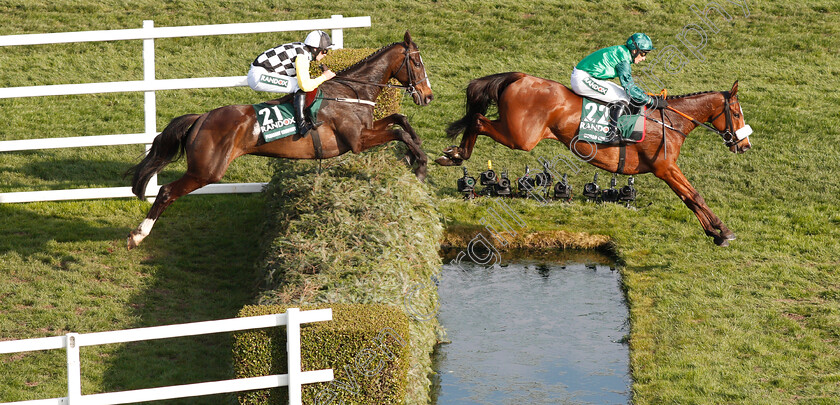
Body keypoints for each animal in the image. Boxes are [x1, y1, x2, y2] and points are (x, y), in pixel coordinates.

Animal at [124, 30, 434, 249]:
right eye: (417, 62)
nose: (428, 96)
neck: (352, 91)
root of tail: (201, 118)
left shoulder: (366, 131)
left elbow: (400, 120)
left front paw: (416, 153)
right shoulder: (357, 141)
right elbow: (398, 131)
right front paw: (419, 165)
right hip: (206, 171)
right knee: (166, 192)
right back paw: (138, 235)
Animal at [440, 72, 756, 246]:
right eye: (736, 113)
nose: (745, 145)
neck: (670, 121)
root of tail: (520, 77)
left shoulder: (665, 169)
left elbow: (689, 198)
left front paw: (714, 232)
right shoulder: (665, 168)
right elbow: (694, 196)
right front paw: (723, 231)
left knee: (479, 119)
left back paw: (454, 154)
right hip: (521, 136)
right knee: (478, 120)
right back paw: (456, 154)